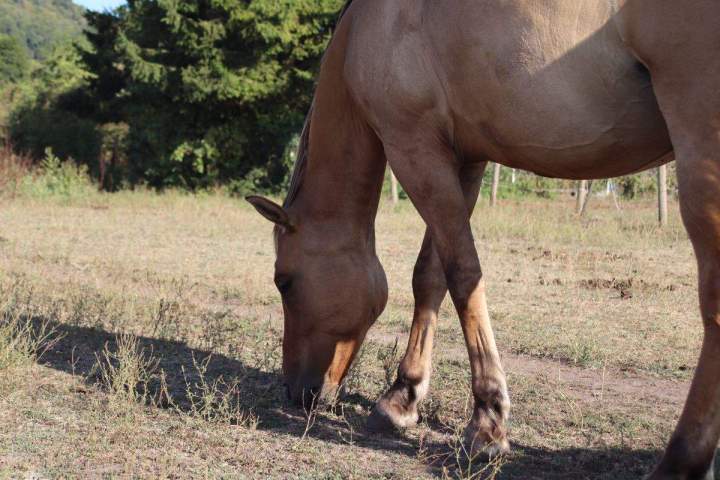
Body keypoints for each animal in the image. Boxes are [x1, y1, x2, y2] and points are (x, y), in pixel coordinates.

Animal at [247, 1, 720, 477]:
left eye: (283, 281)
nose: (297, 392)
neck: (371, 25)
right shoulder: (464, 160)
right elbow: (429, 276)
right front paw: (402, 397)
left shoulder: (415, 151)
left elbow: (462, 275)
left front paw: (487, 423)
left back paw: (679, 461)